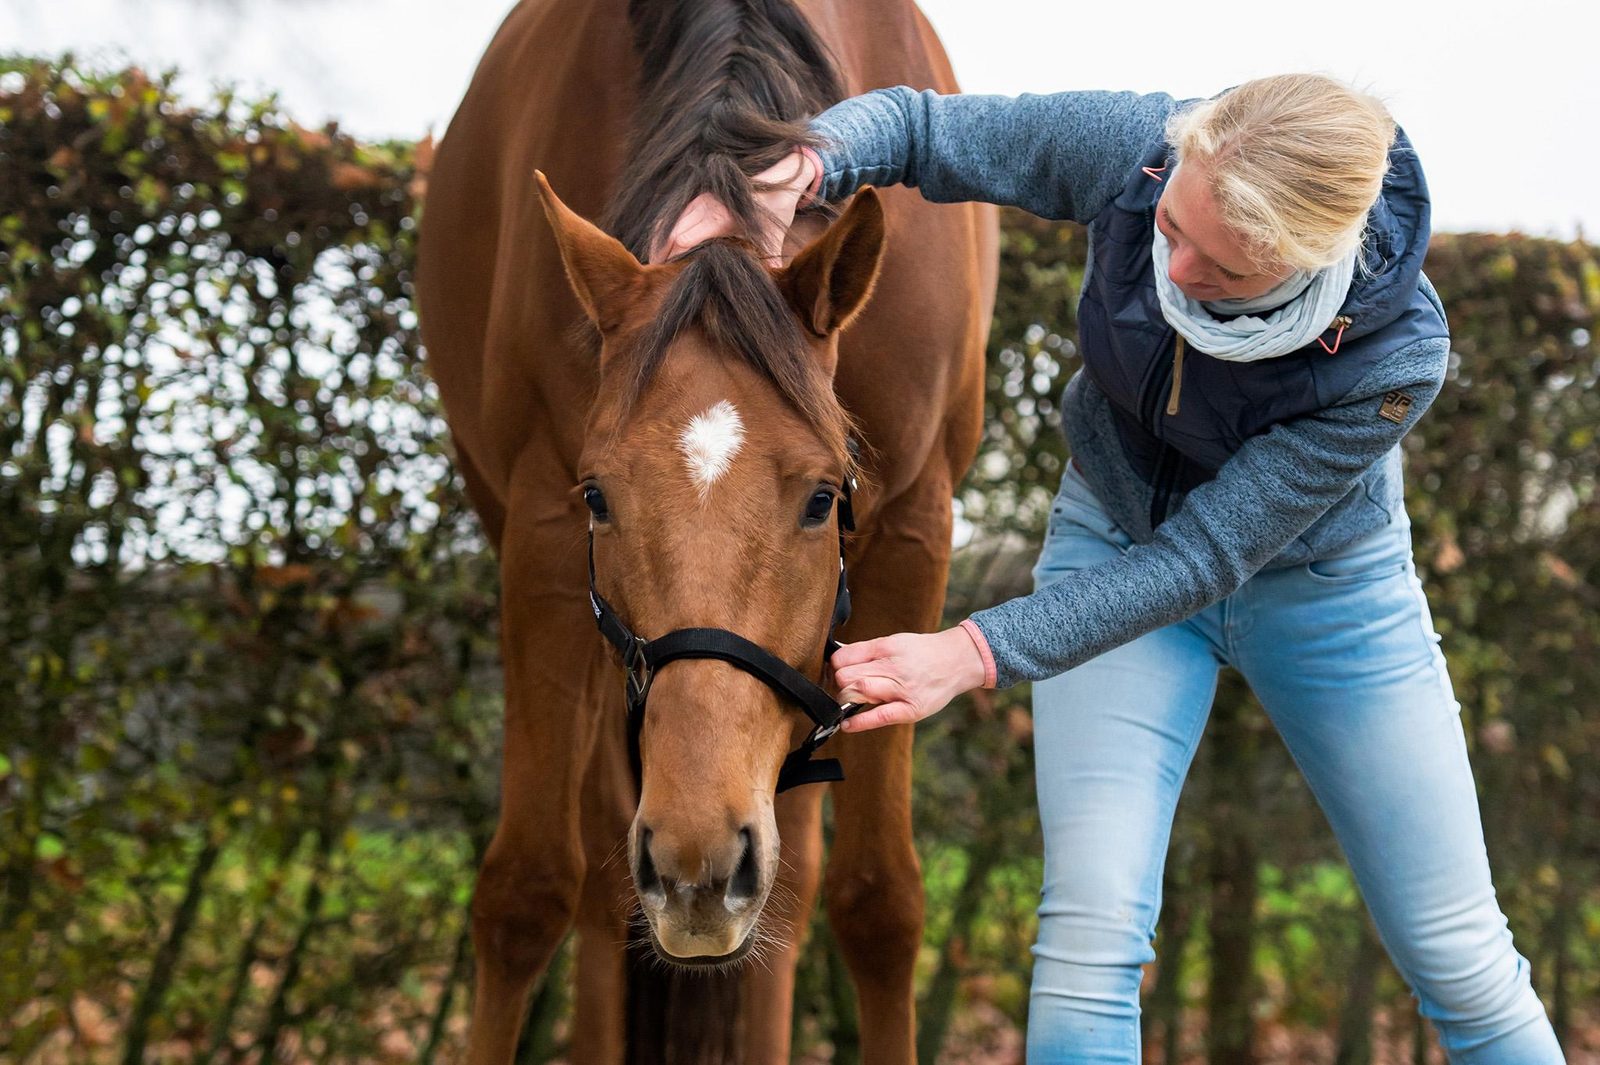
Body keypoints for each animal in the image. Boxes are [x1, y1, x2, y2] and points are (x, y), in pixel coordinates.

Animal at [412, 0, 985, 1055]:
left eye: (823, 496)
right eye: (600, 497)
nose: (695, 865)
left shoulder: (914, 527)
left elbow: (880, 902)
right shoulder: (543, 530)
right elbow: (524, 891)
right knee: (603, 874)